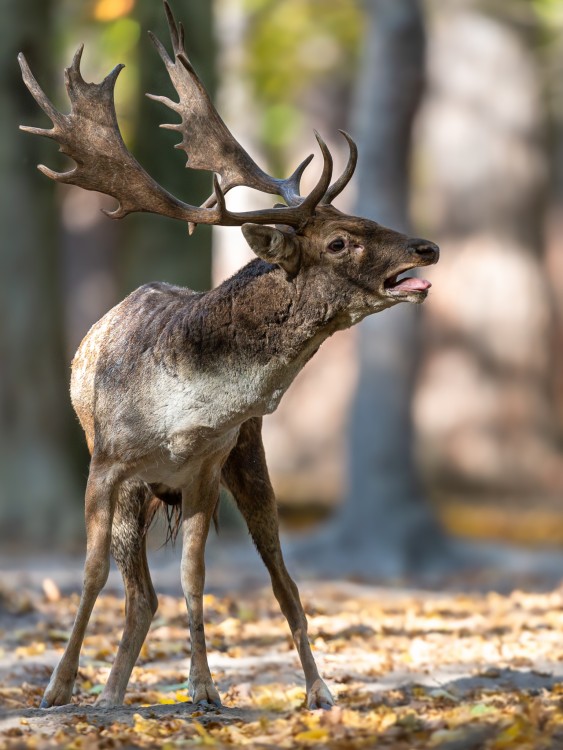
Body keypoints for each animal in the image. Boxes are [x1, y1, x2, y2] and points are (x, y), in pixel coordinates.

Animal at [18, 0, 440, 712]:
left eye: (364, 219)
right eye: (339, 241)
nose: (427, 247)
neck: (182, 418)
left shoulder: (206, 470)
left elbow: (194, 578)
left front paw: (204, 688)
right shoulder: (106, 463)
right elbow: (91, 572)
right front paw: (57, 688)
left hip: (249, 458)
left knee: (273, 579)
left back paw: (318, 690)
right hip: (138, 488)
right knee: (138, 591)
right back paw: (108, 693)